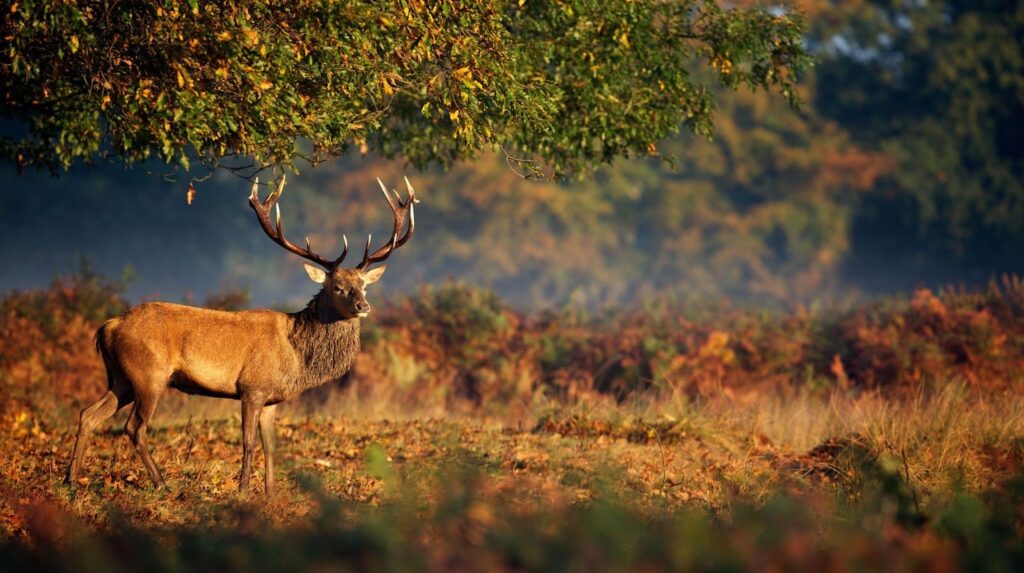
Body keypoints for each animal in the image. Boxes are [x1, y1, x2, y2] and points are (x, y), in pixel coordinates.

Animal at [65, 175, 417, 494]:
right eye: (337, 286)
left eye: (364, 285)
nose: (363, 305)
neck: (296, 356)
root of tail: (109, 326)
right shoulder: (251, 387)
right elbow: (247, 442)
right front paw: (244, 490)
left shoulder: (273, 398)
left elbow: (270, 446)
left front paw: (271, 493)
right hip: (149, 374)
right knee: (135, 427)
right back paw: (161, 483)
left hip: (121, 378)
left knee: (88, 414)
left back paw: (71, 480)